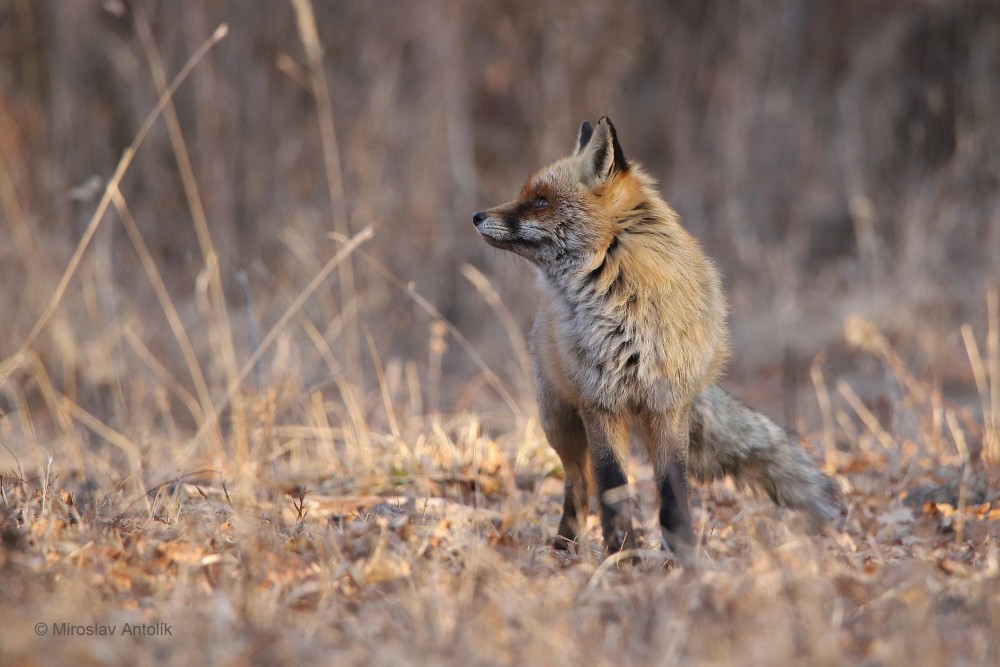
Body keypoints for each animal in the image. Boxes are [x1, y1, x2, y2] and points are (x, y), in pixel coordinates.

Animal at [472, 117, 840, 556]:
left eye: (540, 201)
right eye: (525, 195)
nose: (476, 215)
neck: (620, 303)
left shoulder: (668, 404)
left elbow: (672, 488)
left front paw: (683, 556)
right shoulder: (600, 404)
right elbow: (612, 485)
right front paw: (622, 554)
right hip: (558, 421)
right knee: (578, 483)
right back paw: (564, 545)